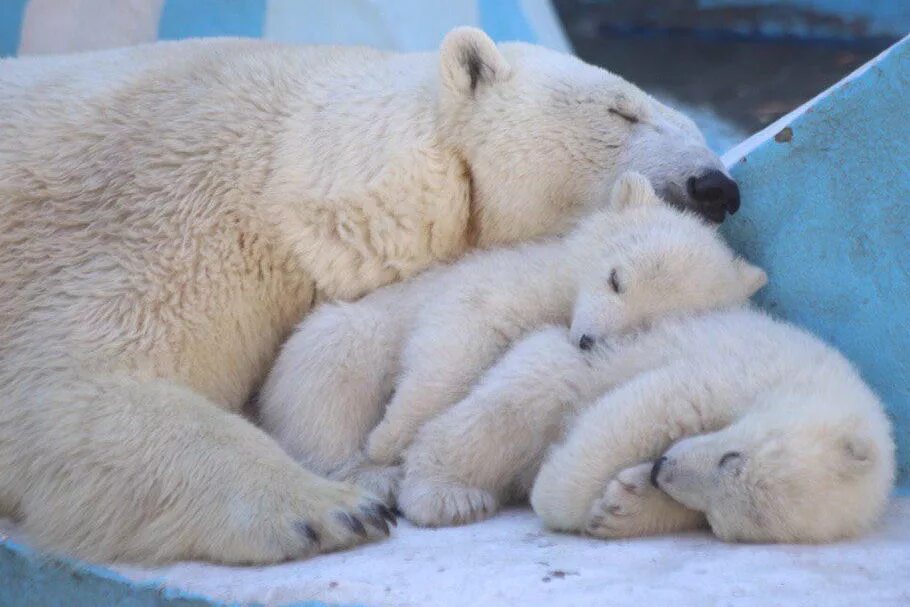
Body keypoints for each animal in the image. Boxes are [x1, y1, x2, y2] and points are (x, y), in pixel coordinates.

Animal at [260, 171, 764, 498]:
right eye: (616, 279)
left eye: (649, 323)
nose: (586, 341)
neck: (563, 297)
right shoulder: (516, 281)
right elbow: (459, 330)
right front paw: (389, 438)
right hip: (342, 333)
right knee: (332, 379)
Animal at [400, 312, 896, 544]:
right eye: (730, 457)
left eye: (720, 522)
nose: (662, 468)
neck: (816, 380)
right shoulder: (739, 370)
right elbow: (653, 404)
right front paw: (559, 498)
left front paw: (621, 506)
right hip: (559, 357)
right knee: (512, 408)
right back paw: (445, 497)